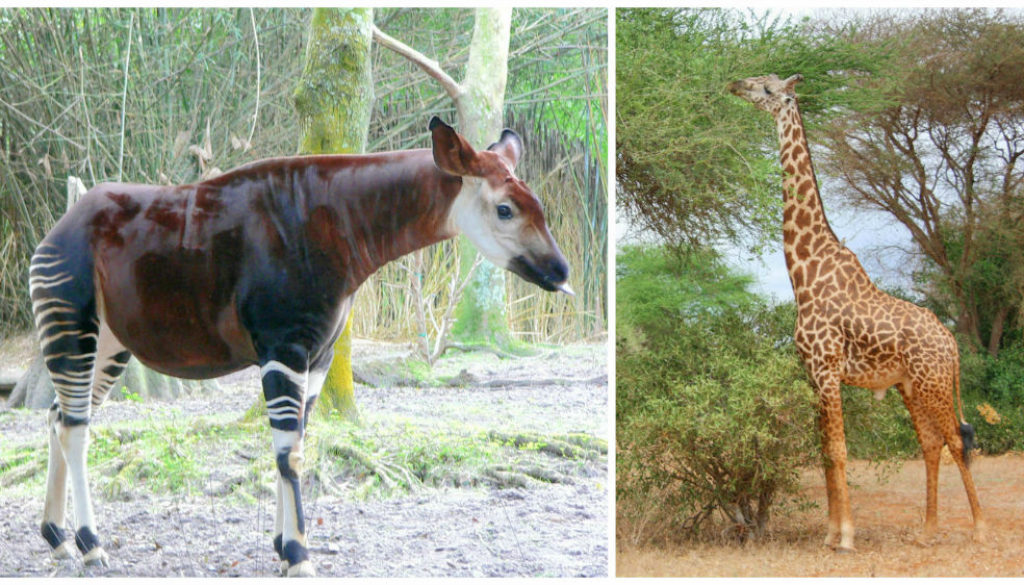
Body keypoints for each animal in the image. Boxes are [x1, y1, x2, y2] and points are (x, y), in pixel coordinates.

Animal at [728, 73, 985, 552]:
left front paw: (846, 536)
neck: (803, 271)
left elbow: (840, 450)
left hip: (935, 382)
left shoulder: (828, 368)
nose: (736, 84)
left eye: (768, 90)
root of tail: (952, 342)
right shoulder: (812, 372)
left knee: (958, 441)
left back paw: (979, 528)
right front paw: (831, 533)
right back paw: (927, 530)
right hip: (911, 385)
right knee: (931, 443)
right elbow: (825, 453)